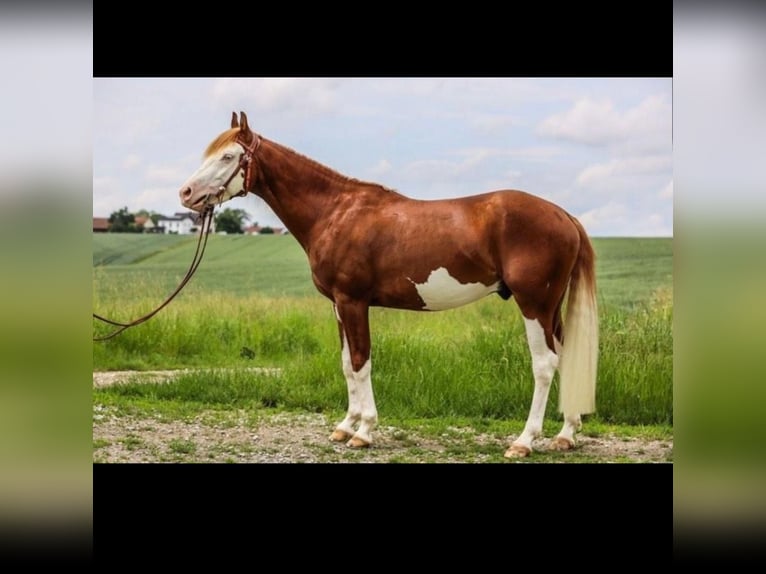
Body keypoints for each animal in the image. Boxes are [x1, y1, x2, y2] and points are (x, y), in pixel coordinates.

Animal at [178, 111, 598, 458]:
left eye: (228, 157)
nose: (186, 194)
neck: (336, 212)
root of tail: (564, 215)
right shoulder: (338, 305)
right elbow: (347, 364)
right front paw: (345, 426)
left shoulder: (353, 301)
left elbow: (361, 362)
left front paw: (364, 432)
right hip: (551, 309)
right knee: (565, 356)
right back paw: (566, 434)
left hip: (534, 305)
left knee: (544, 364)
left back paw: (524, 441)